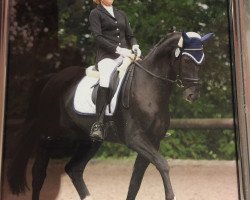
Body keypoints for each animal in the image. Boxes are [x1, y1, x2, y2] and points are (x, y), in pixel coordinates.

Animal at [6, 31, 212, 200]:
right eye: (186, 60)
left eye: (202, 61)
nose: (192, 95)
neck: (149, 87)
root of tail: (51, 79)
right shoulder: (135, 138)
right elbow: (162, 164)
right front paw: (171, 196)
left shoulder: (153, 141)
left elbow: (135, 181)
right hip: (56, 136)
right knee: (39, 169)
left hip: (88, 140)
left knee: (73, 169)